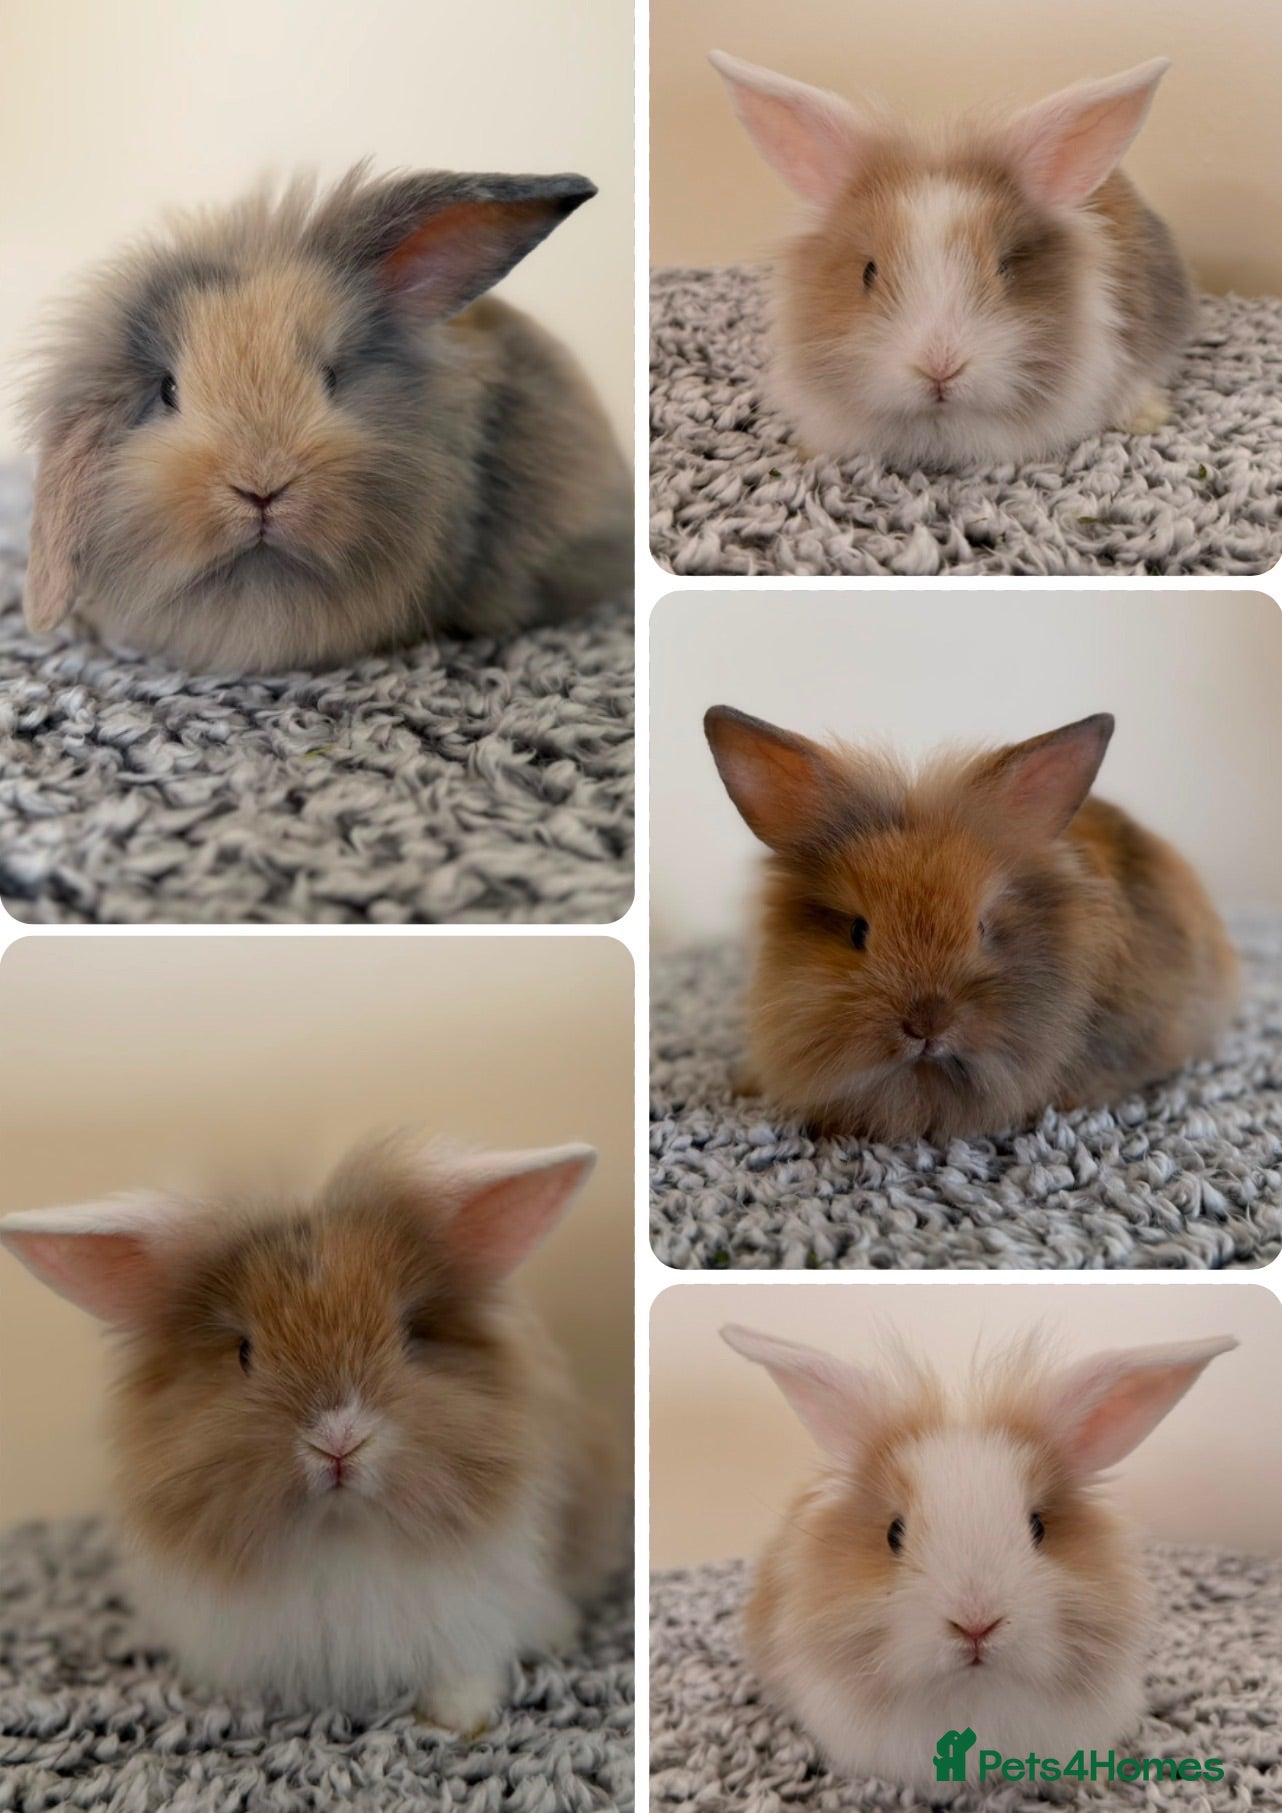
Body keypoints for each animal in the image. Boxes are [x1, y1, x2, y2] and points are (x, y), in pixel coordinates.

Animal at [0, 1135, 623, 1728]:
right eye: (244, 1352)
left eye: (410, 1334)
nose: (339, 1439)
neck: (339, 1532)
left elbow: (466, 1668)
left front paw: (460, 1718)